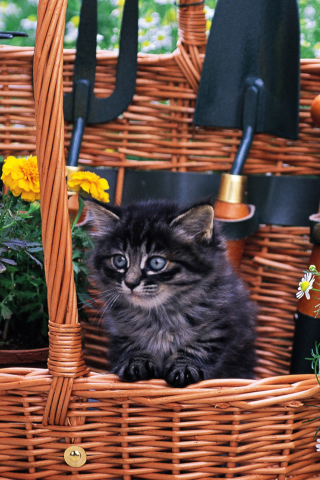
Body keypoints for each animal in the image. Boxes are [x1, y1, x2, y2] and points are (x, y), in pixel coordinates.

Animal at [86, 197, 256, 388]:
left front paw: (185, 367)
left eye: (156, 263)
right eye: (120, 260)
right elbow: (133, 344)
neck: (158, 314)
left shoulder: (220, 322)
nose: (130, 283)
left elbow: (199, 346)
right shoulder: (120, 329)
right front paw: (135, 362)